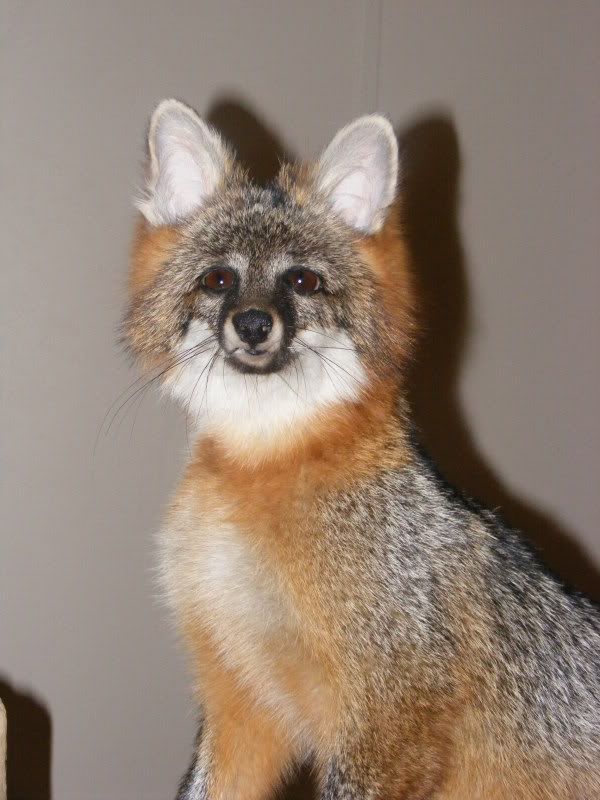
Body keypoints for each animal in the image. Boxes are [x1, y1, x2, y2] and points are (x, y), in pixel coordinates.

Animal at [124, 98, 600, 799]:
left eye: (302, 281)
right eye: (219, 279)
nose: (254, 323)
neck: (262, 471)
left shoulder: (390, 712)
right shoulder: (241, 701)